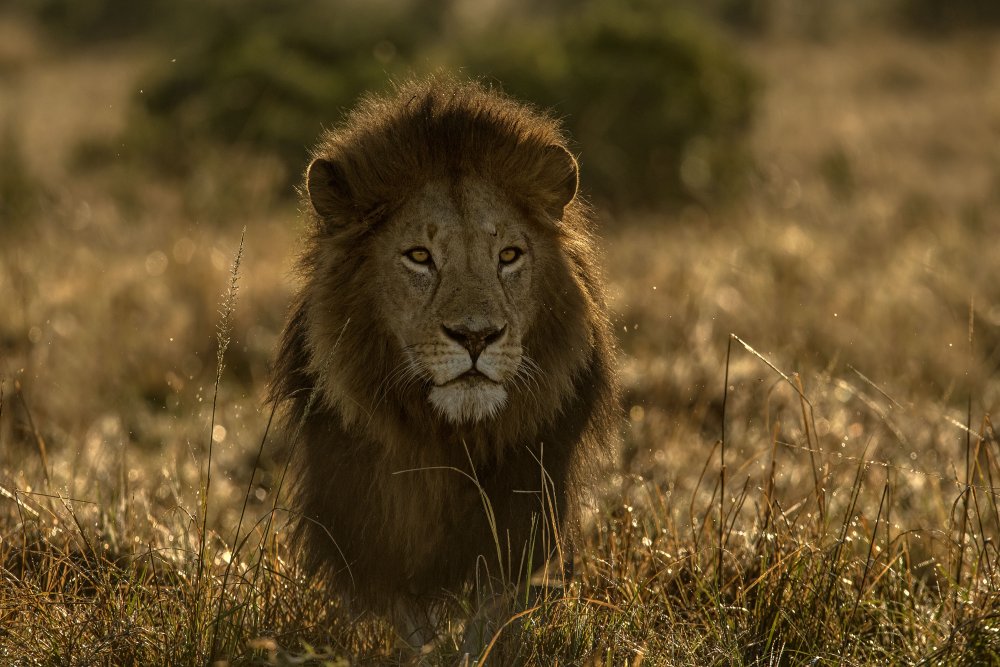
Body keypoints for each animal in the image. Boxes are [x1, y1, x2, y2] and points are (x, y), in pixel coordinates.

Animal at [269, 75, 618, 651]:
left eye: (509, 256)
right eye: (419, 257)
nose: (476, 336)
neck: (451, 436)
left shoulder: (522, 505)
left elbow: (490, 617)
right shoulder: (369, 516)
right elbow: (412, 624)